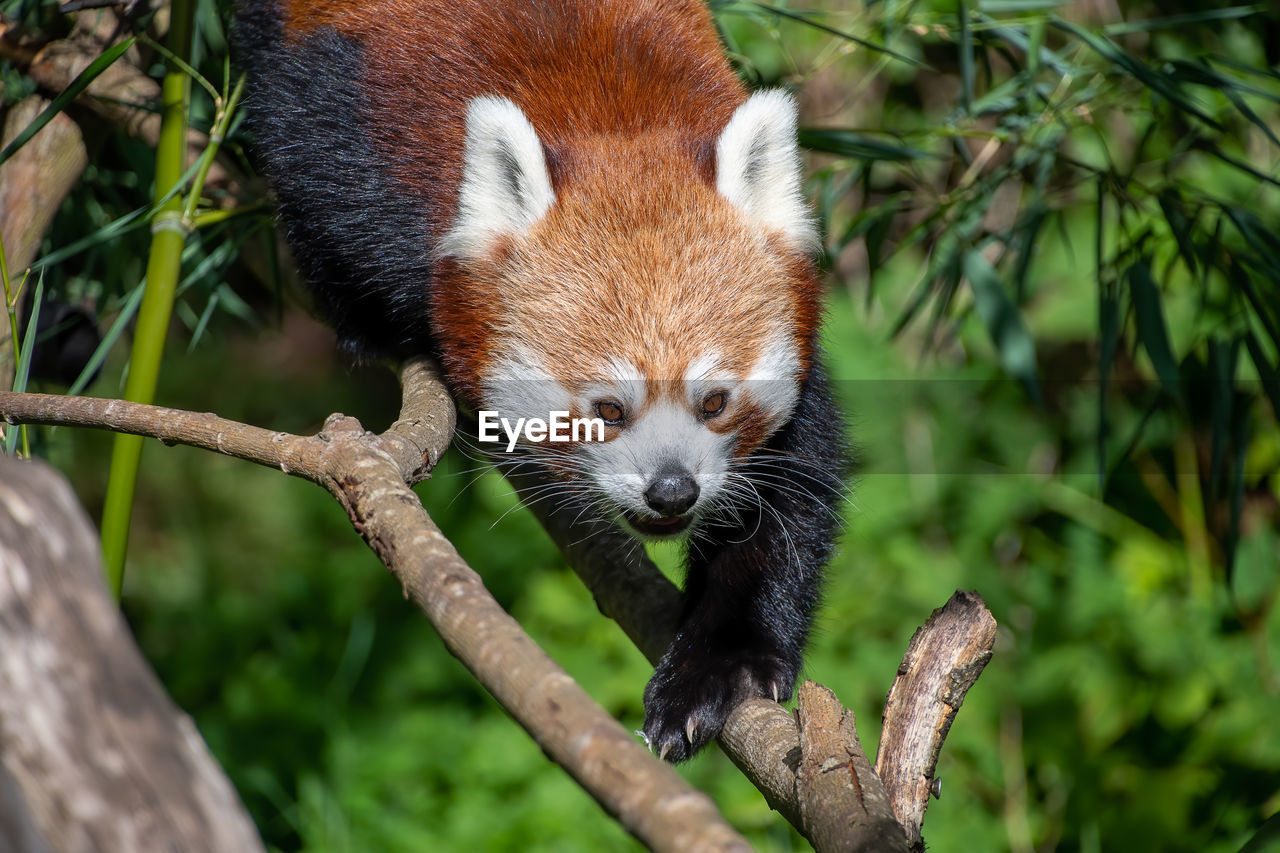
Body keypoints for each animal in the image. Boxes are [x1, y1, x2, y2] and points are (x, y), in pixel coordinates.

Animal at [238, 0, 849, 758]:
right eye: (608, 409)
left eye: (714, 401)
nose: (672, 490)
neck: (616, 121)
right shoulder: (345, 137)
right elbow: (322, 203)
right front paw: (373, 327)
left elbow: (787, 493)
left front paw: (719, 668)